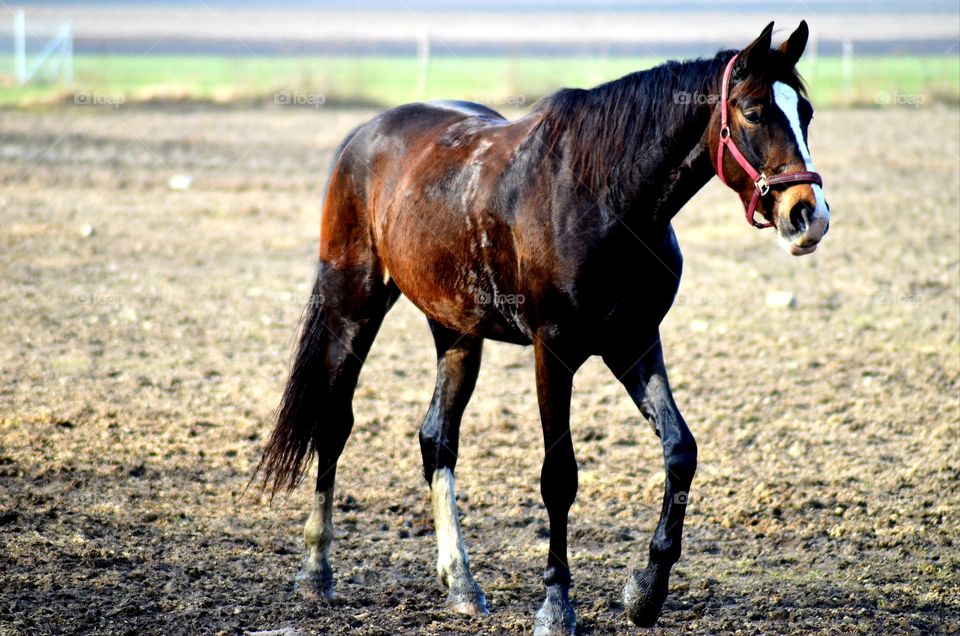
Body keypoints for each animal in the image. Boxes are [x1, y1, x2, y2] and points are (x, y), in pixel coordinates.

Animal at [256, 20, 829, 634]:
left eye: (806, 112)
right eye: (752, 111)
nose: (808, 215)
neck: (607, 196)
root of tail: (362, 136)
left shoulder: (633, 343)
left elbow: (680, 451)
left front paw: (645, 591)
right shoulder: (553, 351)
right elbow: (560, 476)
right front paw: (556, 604)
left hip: (455, 330)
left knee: (437, 440)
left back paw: (461, 583)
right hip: (353, 306)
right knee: (334, 423)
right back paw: (317, 571)